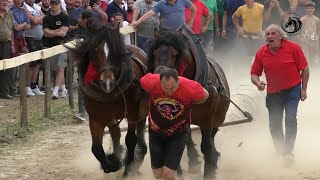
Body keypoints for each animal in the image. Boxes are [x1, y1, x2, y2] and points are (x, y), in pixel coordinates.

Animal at [67, 23, 149, 176]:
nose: (107, 82)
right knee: (115, 133)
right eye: (95, 50)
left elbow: (130, 140)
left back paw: (138, 156)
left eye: (115, 51)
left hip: (143, 110)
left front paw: (128, 169)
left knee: (139, 132)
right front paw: (112, 163)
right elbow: (96, 148)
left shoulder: (132, 113)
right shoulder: (96, 118)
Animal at [149, 28, 231, 179]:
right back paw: (194, 161)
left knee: (212, 134)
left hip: (218, 117)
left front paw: (210, 169)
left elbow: (206, 146)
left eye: (176, 55)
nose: (158, 76)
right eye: (154, 53)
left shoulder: (207, 119)